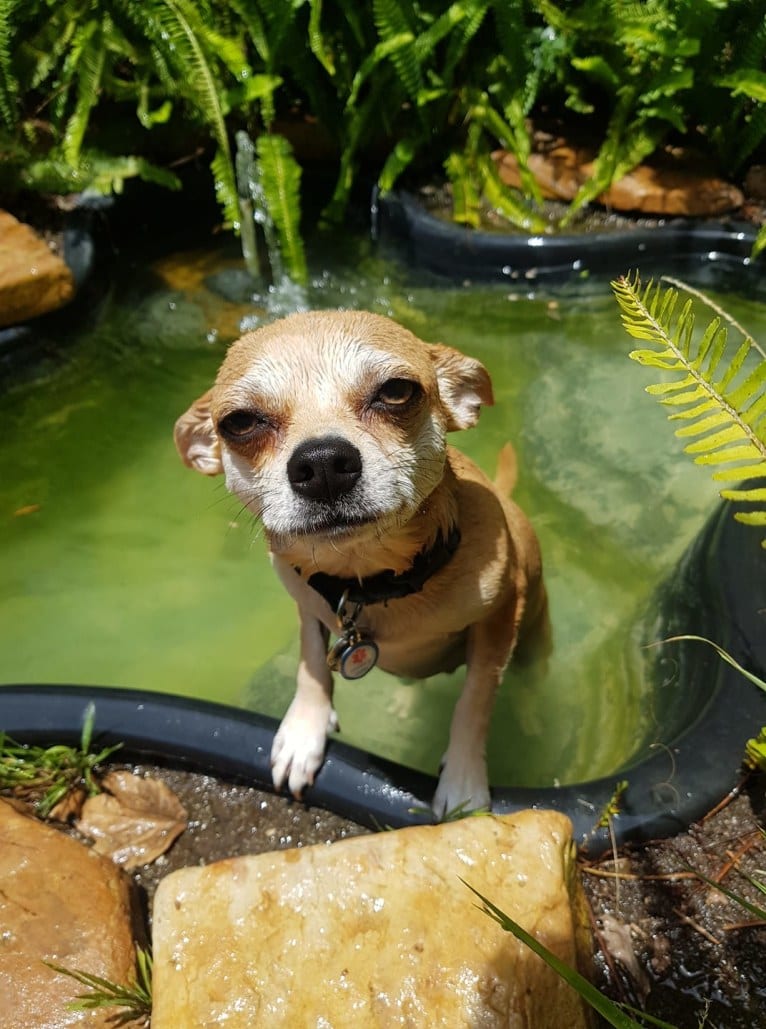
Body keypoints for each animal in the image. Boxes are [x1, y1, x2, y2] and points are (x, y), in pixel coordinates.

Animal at [175, 308, 543, 814]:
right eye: (241, 421)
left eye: (396, 391)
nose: (322, 462)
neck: (369, 579)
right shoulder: (307, 605)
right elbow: (312, 661)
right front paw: (303, 732)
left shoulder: (499, 616)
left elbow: (475, 699)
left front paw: (464, 782)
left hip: (533, 630)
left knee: (525, 678)